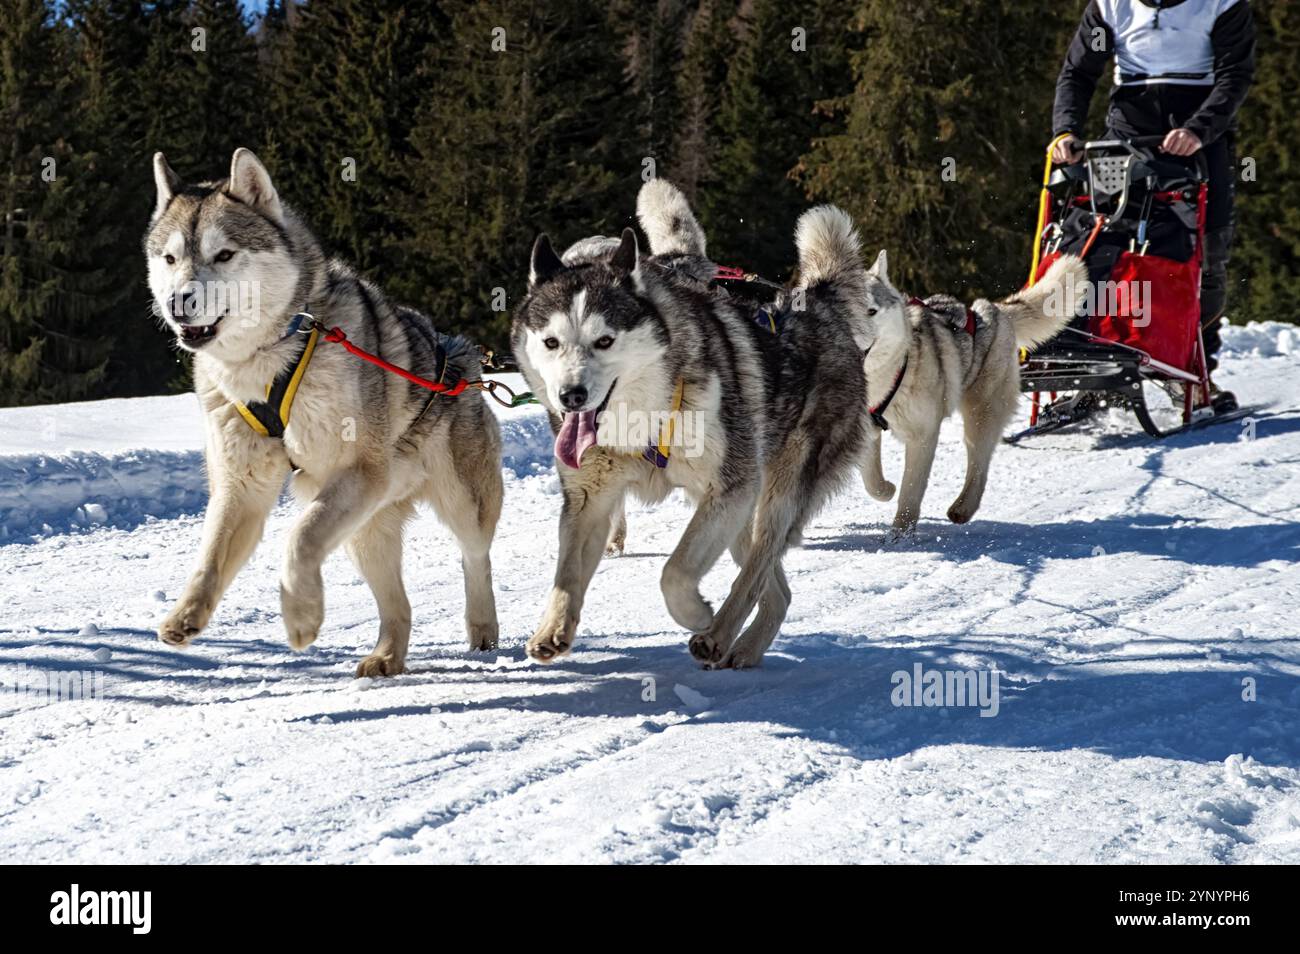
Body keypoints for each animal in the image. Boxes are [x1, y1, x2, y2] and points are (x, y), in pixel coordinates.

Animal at [146, 147, 501, 681]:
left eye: (223, 254)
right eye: (170, 259)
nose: (178, 303)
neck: (267, 362)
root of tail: (463, 361)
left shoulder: (354, 474)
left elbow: (298, 540)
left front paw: (302, 618)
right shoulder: (241, 488)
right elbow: (209, 557)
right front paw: (185, 616)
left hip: (461, 506)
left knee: (474, 559)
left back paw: (482, 631)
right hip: (366, 532)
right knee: (398, 606)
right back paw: (386, 656)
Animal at [512, 180, 868, 670]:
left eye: (605, 340)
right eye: (551, 342)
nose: (572, 396)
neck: (646, 417)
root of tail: (815, 301)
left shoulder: (730, 487)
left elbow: (674, 572)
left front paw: (697, 613)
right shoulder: (591, 498)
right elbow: (566, 575)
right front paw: (552, 628)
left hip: (775, 492)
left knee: (758, 567)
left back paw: (717, 634)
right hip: (739, 512)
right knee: (776, 590)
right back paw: (745, 647)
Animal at [857, 254, 1092, 535]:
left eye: (871, 311)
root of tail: (994, 309)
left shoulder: (923, 435)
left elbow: (910, 492)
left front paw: (900, 533)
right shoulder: (864, 431)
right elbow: (873, 483)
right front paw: (887, 490)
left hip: (980, 415)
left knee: (979, 466)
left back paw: (962, 508)